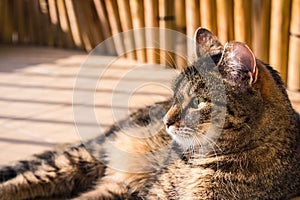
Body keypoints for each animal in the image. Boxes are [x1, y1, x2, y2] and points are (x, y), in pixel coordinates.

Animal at [0, 28, 300, 200]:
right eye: (175, 96)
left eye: (198, 101)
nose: (166, 121)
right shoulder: (158, 191)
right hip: (88, 155)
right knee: (28, 179)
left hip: (117, 186)